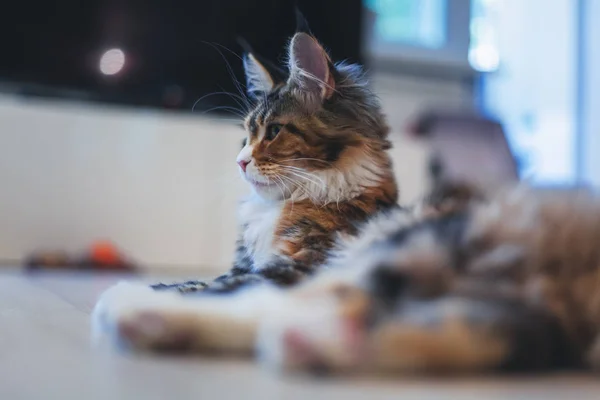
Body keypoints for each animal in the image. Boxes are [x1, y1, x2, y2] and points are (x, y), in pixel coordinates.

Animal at [91, 184, 600, 376]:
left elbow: (223, 286)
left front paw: (143, 293)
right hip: (504, 307)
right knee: (464, 332)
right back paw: (317, 344)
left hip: (412, 248)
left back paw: (140, 312)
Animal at [152, 30, 400, 294]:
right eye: (246, 136)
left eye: (273, 131)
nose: (239, 162)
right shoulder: (243, 267)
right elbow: (195, 282)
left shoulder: (299, 265)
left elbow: (207, 288)